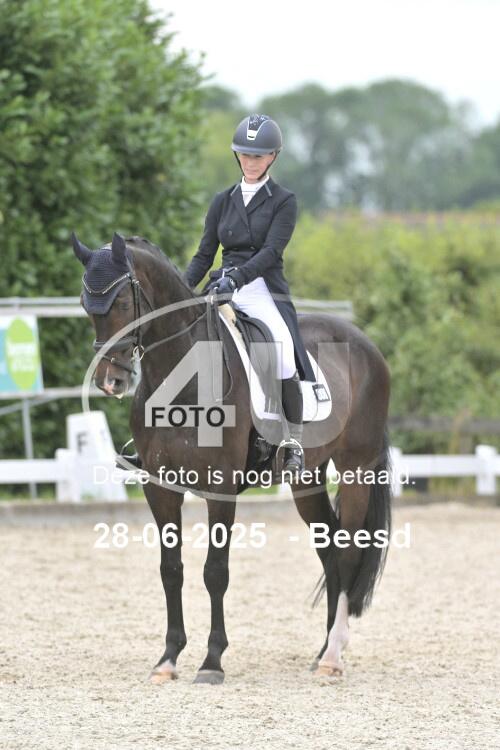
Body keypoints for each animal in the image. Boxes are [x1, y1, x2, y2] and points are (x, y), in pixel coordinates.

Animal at [72, 231, 392, 684]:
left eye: (120, 304)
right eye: (87, 306)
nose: (110, 381)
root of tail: (366, 345)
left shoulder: (220, 488)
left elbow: (215, 572)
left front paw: (211, 661)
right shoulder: (159, 488)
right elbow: (171, 569)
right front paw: (168, 659)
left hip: (356, 470)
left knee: (346, 549)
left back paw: (333, 656)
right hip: (306, 480)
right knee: (328, 549)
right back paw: (322, 651)